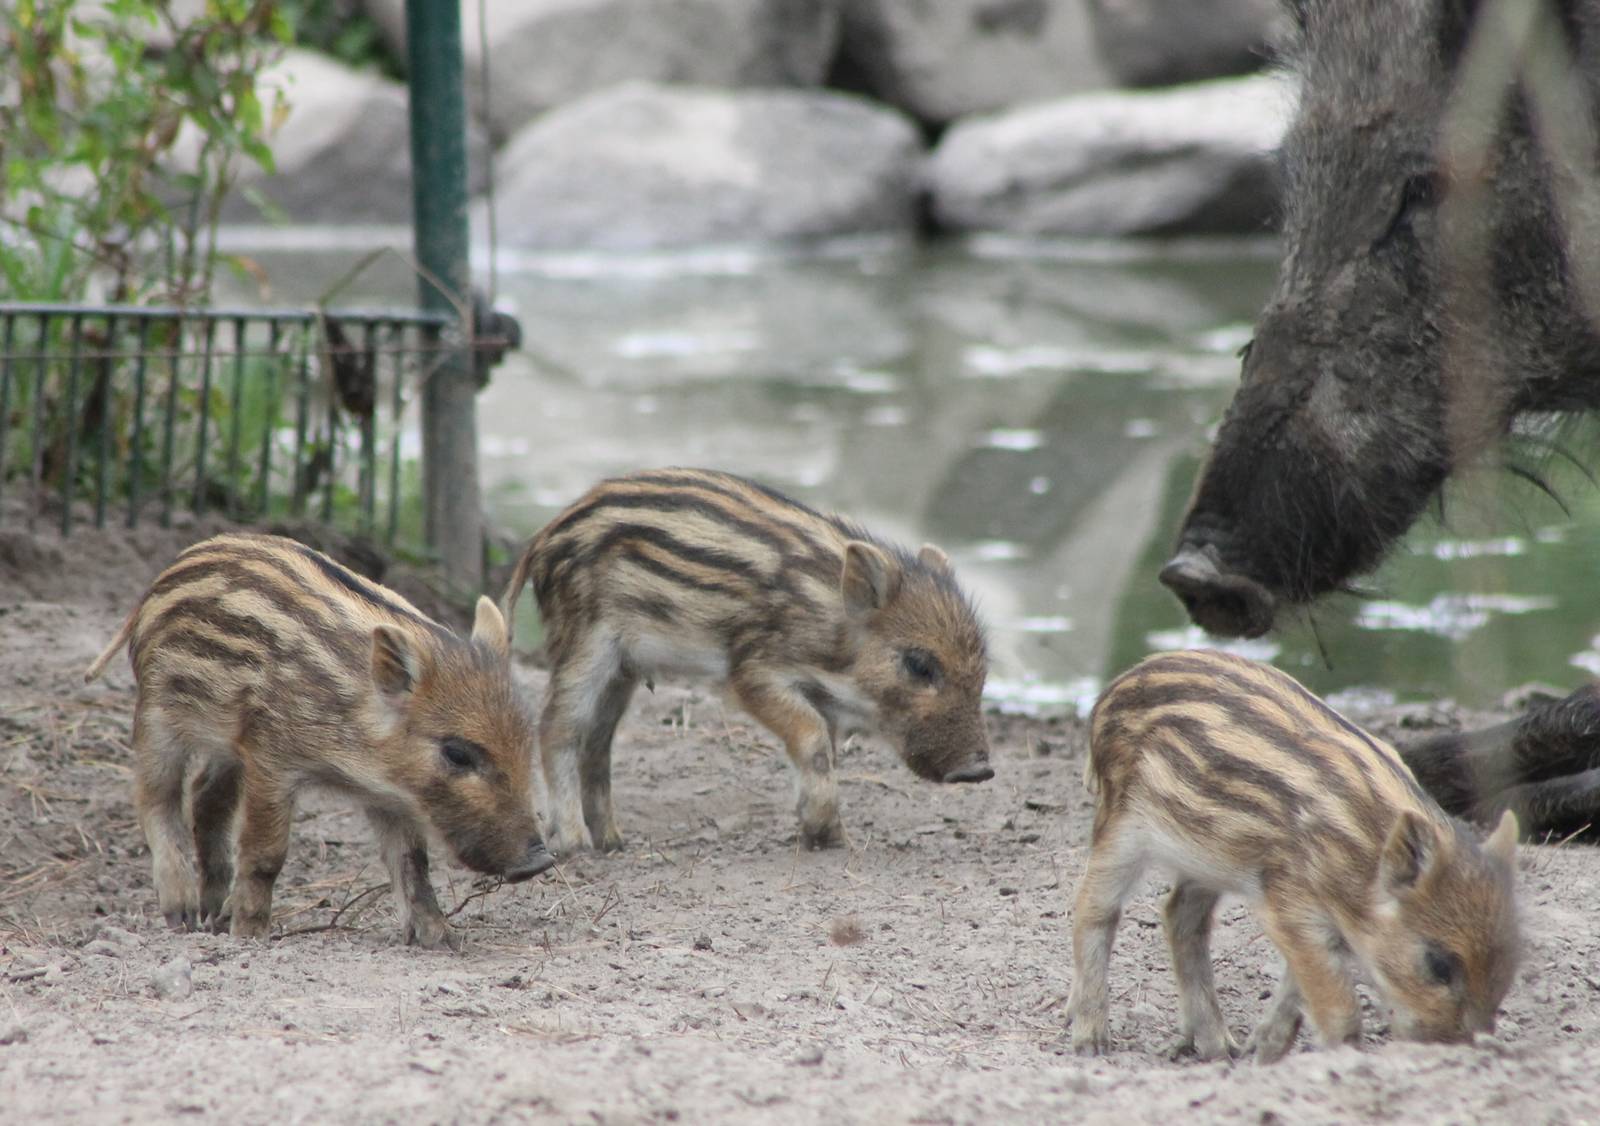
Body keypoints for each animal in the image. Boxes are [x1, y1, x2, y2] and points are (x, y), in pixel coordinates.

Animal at [84, 533, 553, 948]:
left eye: (525, 742)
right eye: (457, 753)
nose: (540, 860)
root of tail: (167, 574)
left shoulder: (390, 793)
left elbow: (412, 862)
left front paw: (442, 940)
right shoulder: (271, 756)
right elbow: (266, 854)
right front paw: (250, 937)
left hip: (227, 741)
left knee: (205, 796)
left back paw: (212, 915)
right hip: (156, 713)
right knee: (155, 797)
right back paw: (181, 914)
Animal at [501, 467, 993, 853]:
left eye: (983, 669)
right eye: (919, 664)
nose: (980, 770)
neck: (832, 627)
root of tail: (544, 535)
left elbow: (824, 751)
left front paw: (828, 836)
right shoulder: (753, 671)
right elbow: (811, 738)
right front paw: (824, 833)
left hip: (621, 668)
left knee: (598, 743)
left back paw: (614, 842)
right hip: (585, 641)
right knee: (558, 727)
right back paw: (576, 845)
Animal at [1067, 650, 1521, 1062]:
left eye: (1511, 963)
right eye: (1439, 964)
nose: (1456, 1052)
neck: (1362, 854)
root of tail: (1113, 689)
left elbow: (1297, 985)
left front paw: (1264, 1051)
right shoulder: (1289, 900)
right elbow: (1337, 1004)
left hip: (1207, 857)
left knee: (1181, 918)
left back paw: (1220, 1048)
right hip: (1122, 825)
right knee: (1094, 909)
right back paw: (1091, 1040)